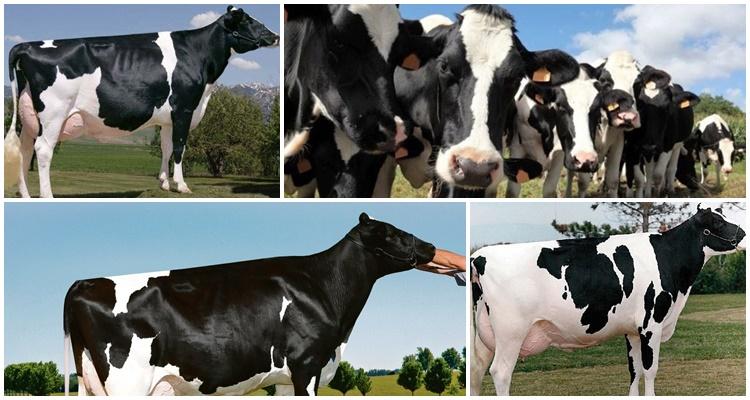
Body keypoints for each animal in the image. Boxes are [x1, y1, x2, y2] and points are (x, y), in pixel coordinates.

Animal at [4, 6, 278, 198]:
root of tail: (26, 45)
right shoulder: (184, 108)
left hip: (29, 117)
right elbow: (180, 148)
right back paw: (47, 195)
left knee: (25, 150)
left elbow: (167, 147)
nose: (275, 36)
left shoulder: (168, 118)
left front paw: (164, 183)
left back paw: (25, 194)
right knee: (43, 150)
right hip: (53, 113)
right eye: (250, 21)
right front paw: (182, 185)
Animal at [63, 212, 439, 395]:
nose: (431, 246)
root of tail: (84, 282)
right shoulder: (306, 365)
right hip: (127, 382)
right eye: (391, 232)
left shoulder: (287, 378)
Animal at [470, 206, 745, 395]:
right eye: (717, 222)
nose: (743, 233)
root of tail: (479, 255)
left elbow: (634, 369)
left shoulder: (632, 330)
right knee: (500, 372)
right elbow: (650, 369)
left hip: (484, 334)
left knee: (476, 371)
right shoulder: (651, 324)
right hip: (511, 331)